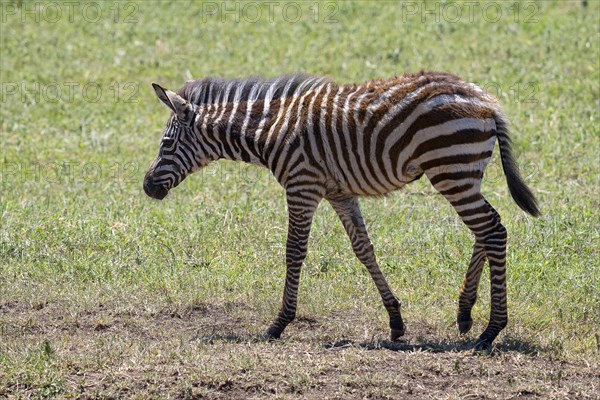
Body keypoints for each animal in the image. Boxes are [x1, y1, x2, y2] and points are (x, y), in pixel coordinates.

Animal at [144, 72, 540, 350]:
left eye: (166, 143)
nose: (147, 186)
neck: (270, 131)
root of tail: (486, 100)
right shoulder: (340, 193)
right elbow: (364, 249)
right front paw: (395, 320)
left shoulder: (302, 186)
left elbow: (294, 252)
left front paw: (279, 323)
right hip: (462, 173)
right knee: (486, 230)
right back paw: (465, 313)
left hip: (451, 170)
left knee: (492, 230)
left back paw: (490, 330)